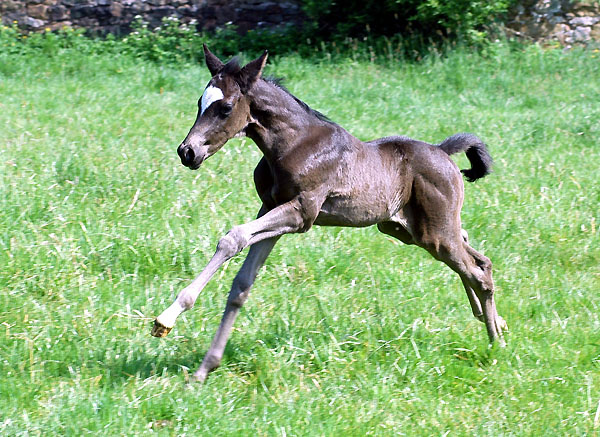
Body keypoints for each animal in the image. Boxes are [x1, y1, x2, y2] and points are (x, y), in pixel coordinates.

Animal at [151, 45, 506, 382]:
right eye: (199, 103)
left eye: (225, 108)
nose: (187, 152)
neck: (294, 144)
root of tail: (443, 152)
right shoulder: (271, 208)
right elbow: (242, 284)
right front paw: (204, 368)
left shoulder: (301, 213)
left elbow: (232, 238)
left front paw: (167, 317)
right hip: (407, 229)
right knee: (473, 252)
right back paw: (494, 320)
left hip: (433, 233)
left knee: (477, 271)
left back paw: (496, 343)